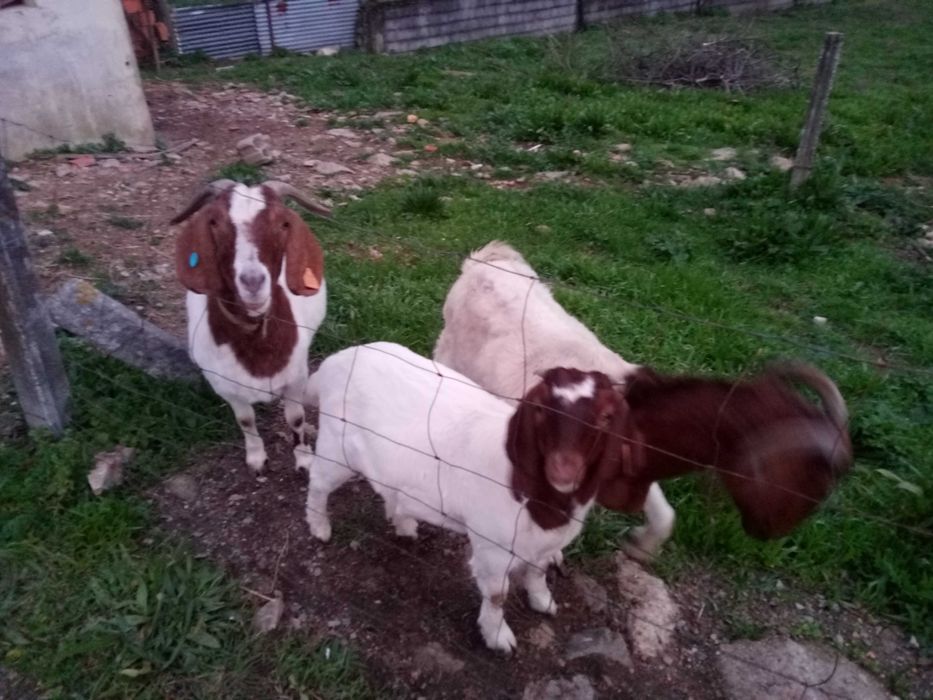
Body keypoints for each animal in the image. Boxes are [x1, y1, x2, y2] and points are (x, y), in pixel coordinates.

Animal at [171, 179, 331, 473]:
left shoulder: (296, 378)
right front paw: (257, 459)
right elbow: (245, 420)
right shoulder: (224, 386)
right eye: (214, 221)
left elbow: (296, 418)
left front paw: (304, 460)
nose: (253, 282)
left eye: (283, 223)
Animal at [302, 342, 635, 653]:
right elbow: (497, 595)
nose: (563, 470)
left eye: (607, 416)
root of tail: (336, 362)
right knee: (318, 482)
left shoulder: (544, 546)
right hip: (337, 447)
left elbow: (538, 573)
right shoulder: (493, 548)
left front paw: (543, 602)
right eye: (542, 409)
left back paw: (404, 525)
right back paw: (319, 527)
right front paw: (498, 637)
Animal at [434, 241, 851, 557]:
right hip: (447, 351)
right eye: (807, 478)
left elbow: (663, 513)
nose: (769, 533)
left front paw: (641, 546)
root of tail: (488, 257)